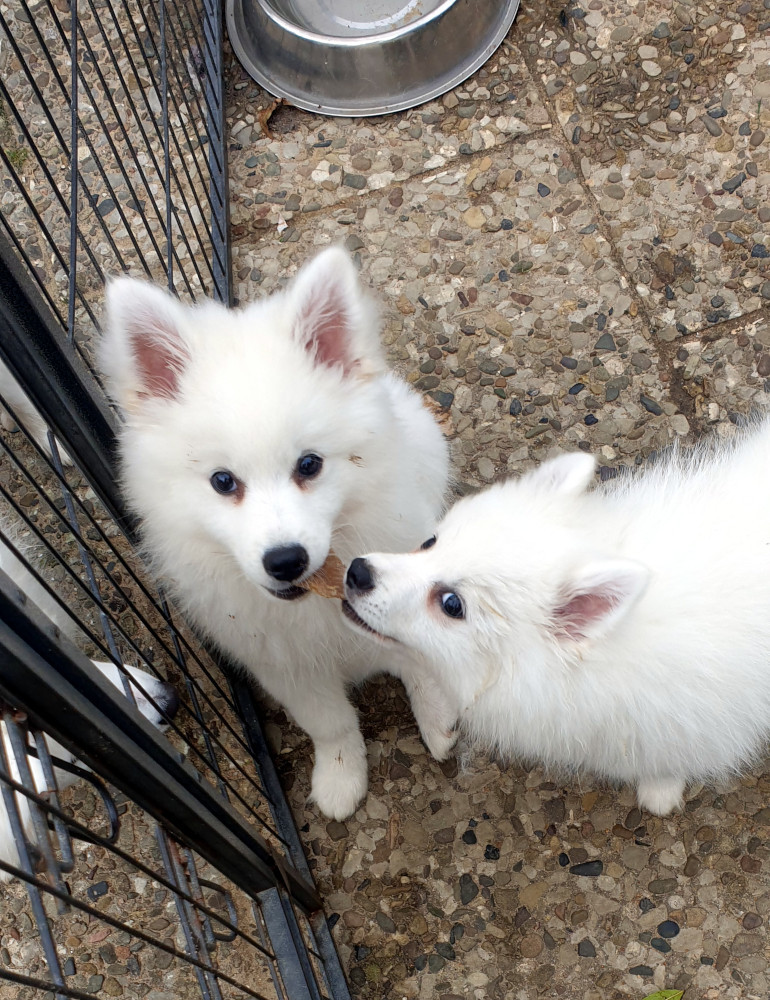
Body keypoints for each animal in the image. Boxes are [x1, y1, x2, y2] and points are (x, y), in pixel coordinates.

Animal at [100, 248, 450, 820]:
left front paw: (437, 718)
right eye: (223, 481)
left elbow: (423, 661)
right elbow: (330, 724)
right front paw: (340, 777)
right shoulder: (283, 667)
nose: (285, 560)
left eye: (309, 465)